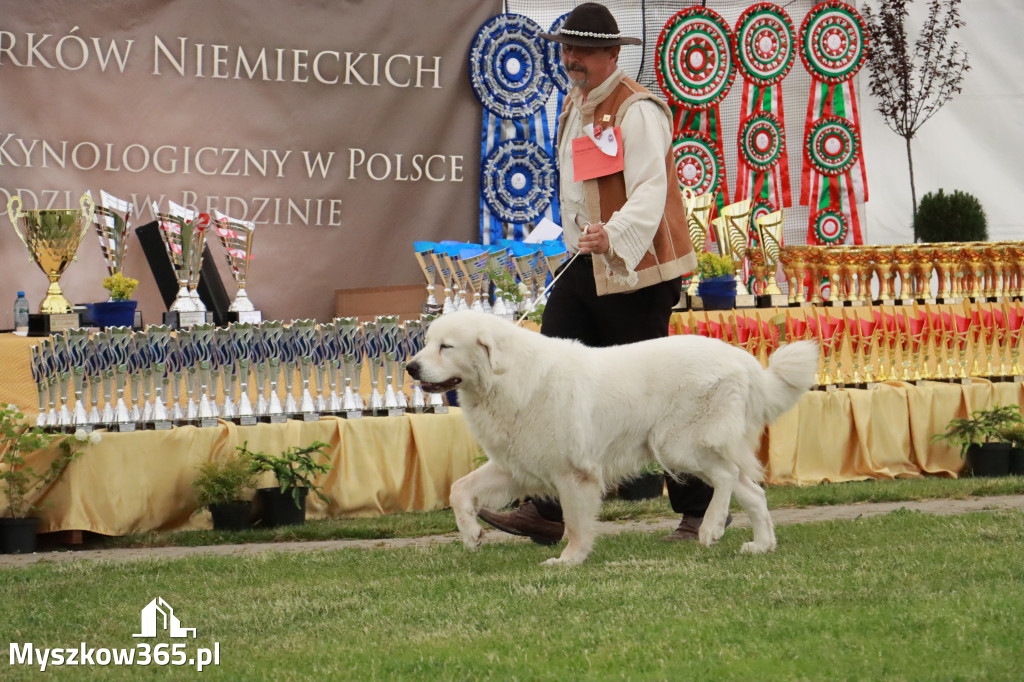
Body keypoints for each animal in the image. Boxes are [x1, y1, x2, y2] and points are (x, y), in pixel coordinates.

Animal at [405, 311, 815, 565]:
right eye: (427, 342)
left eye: (446, 346)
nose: (410, 367)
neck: (506, 378)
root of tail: (744, 360)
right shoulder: (514, 465)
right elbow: (459, 489)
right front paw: (472, 534)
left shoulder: (572, 473)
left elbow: (574, 522)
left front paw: (568, 560)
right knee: (753, 491)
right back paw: (761, 545)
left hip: (678, 445)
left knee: (728, 477)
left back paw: (711, 527)